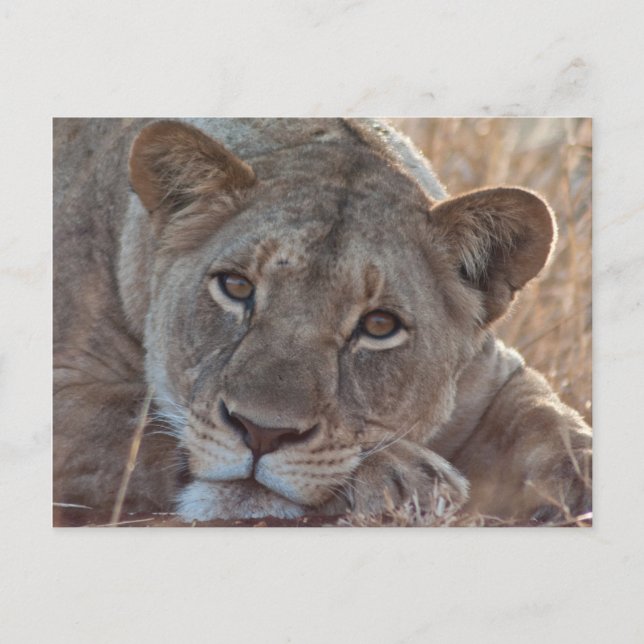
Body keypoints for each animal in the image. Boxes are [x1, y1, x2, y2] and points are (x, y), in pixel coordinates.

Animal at [53, 118, 592, 525]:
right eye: (236, 287)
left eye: (379, 325)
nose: (262, 433)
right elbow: (140, 422)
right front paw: (404, 478)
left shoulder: (496, 379)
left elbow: (556, 428)